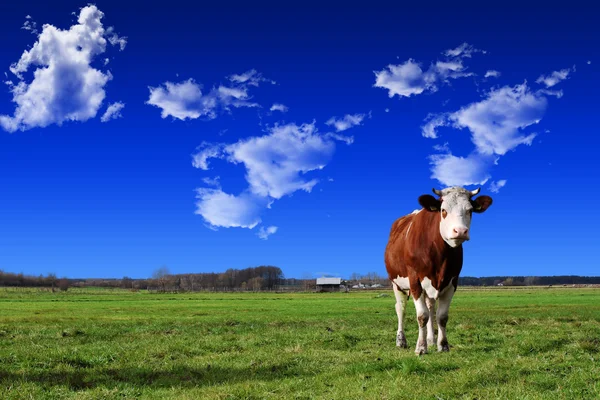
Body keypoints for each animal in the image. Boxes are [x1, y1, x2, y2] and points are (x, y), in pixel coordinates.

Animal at [384, 186, 492, 354]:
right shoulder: (415, 281)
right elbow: (422, 316)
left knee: (430, 307)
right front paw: (421, 348)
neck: (440, 256)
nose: (460, 231)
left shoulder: (452, 281)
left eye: (470, 210)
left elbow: (441, 316)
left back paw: (431, 340)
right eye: (443, 210)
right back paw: (401, 341)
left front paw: (443, 345)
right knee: (401, 308)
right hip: (397, 283)